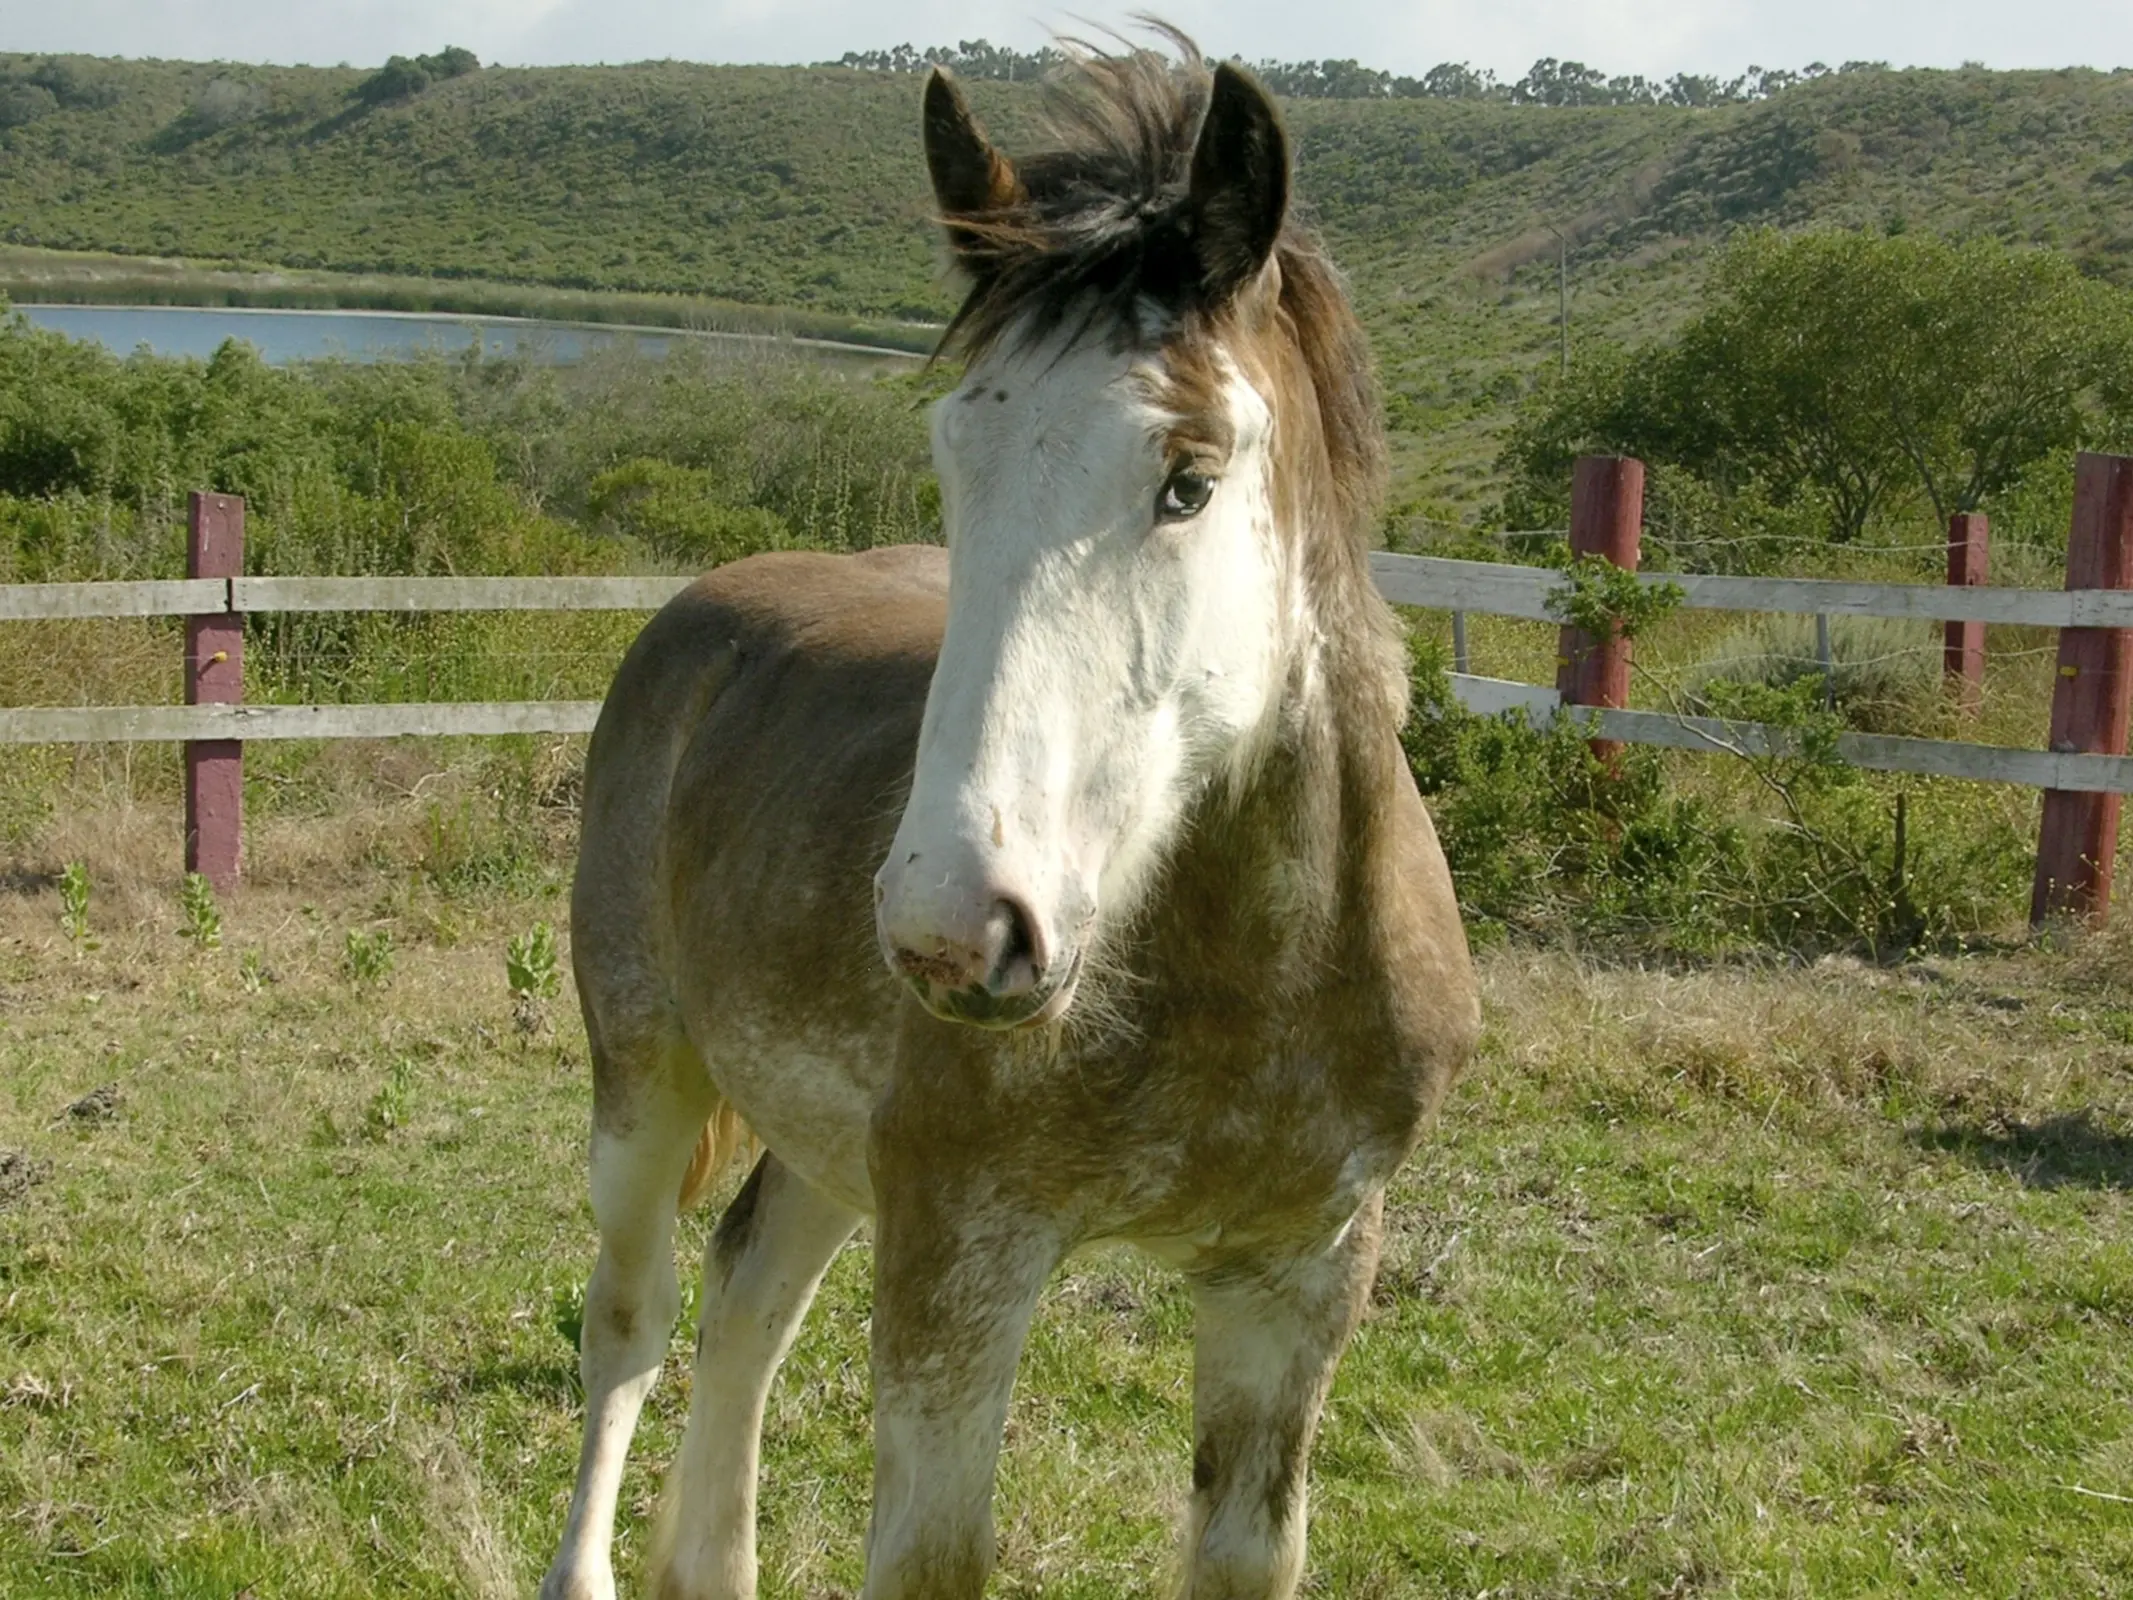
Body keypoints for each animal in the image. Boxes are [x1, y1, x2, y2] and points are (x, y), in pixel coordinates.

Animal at [533, 37, 1476, 1600]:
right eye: (954, 457)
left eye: (1189, 479)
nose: (953, 930)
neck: (1247, 979)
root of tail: (702, 607)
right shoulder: (960, 1260)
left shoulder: (1297, 1279)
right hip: (646, 1073)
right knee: (634, 1317)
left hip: (828, 1145)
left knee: (749, 1294)